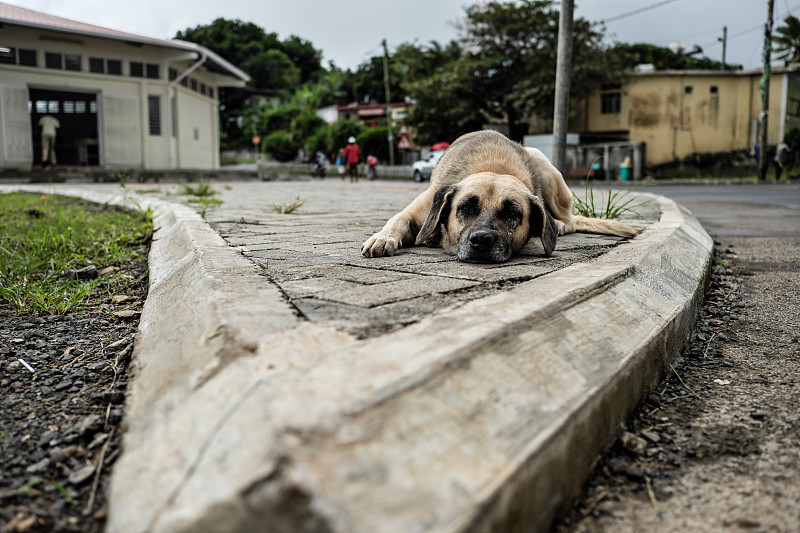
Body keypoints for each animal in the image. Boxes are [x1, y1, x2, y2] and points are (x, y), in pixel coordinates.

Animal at [360, 129, 640, 262]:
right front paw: (383, 237)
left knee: (570, 220)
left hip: (541, 162)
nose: (482, 240)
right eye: (465, 208)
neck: (494, 168)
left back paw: (559, 225)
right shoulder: (420, 209)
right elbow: (398, 218)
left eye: (512, 213)